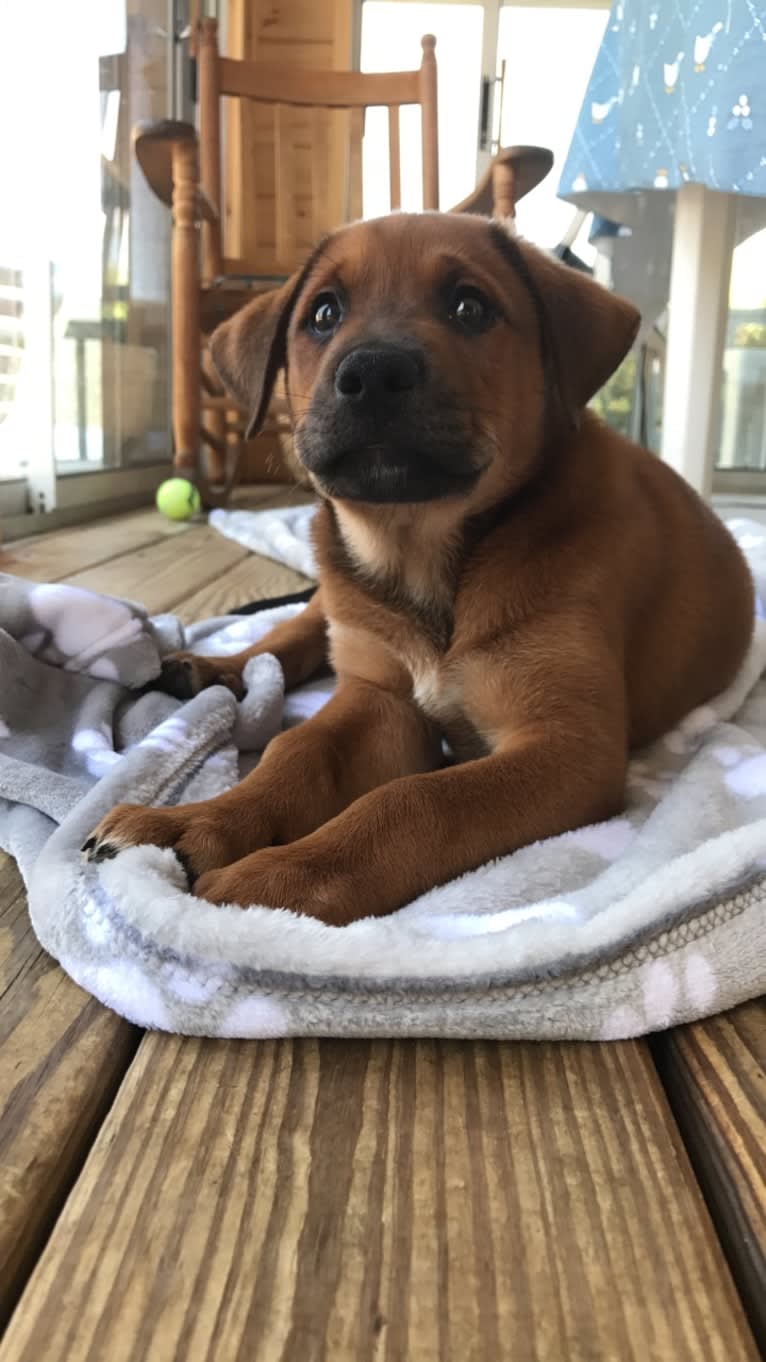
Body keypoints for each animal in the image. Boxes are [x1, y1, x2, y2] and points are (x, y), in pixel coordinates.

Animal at [83, 212, 752, 920]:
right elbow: (297, 753)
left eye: (470, 306)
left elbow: (416, 802)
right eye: (324, 313)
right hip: (335, 599)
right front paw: (191, 823)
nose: (373, 372)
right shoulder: (379, 701)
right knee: (290, 636)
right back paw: (211, 667)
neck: (422, 556)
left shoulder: (569, 745)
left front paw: (275, 883)